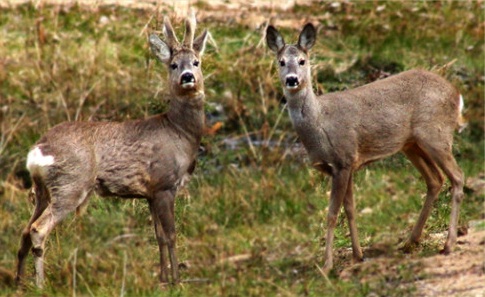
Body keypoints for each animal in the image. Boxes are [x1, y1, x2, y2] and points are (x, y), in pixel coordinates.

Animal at [14, 12, 208, 286]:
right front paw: (176, 280)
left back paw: (19, 282)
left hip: (43, 189)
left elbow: (158, 236)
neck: (179, 132)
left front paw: (161, 278)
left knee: (24, 229)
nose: (188, 77)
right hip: (71, 184)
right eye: (173, 65)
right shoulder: (164, 184)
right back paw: (40, 284)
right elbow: (171, 235)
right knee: (38, 229)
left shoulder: (149, 193)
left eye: (196, 62)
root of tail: (37, 150)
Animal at [266, 23, 464, 272]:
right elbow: (350, 209)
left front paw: (327, 264)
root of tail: (457, 95)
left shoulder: (343, 160)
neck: (320, 124)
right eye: (281, 62)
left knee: (457, 176)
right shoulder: (348, 164)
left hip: (436, 135)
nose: (292, 79)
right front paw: (357, 255)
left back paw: (448, 245)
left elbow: (332, 213)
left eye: (302, 61)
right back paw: (409, 242)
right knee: (435, 180)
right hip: (411, 145)